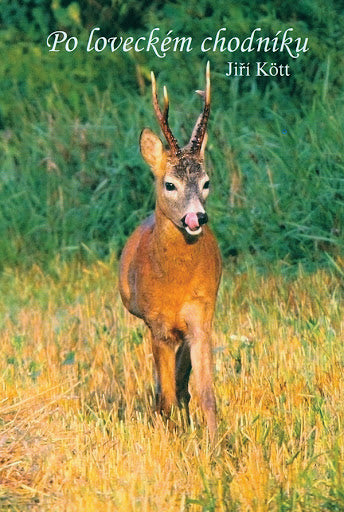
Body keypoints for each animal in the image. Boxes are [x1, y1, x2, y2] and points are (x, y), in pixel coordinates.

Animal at [118, 63, 222, 440]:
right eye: (169, 184)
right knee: (164, 389)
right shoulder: (157, 324)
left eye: (206, 182)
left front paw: (216, 444)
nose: (197, 217)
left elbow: (204, 391)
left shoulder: (201, 316)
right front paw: (167, 437)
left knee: (181, 383)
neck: (174, 284)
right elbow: (163, 396)